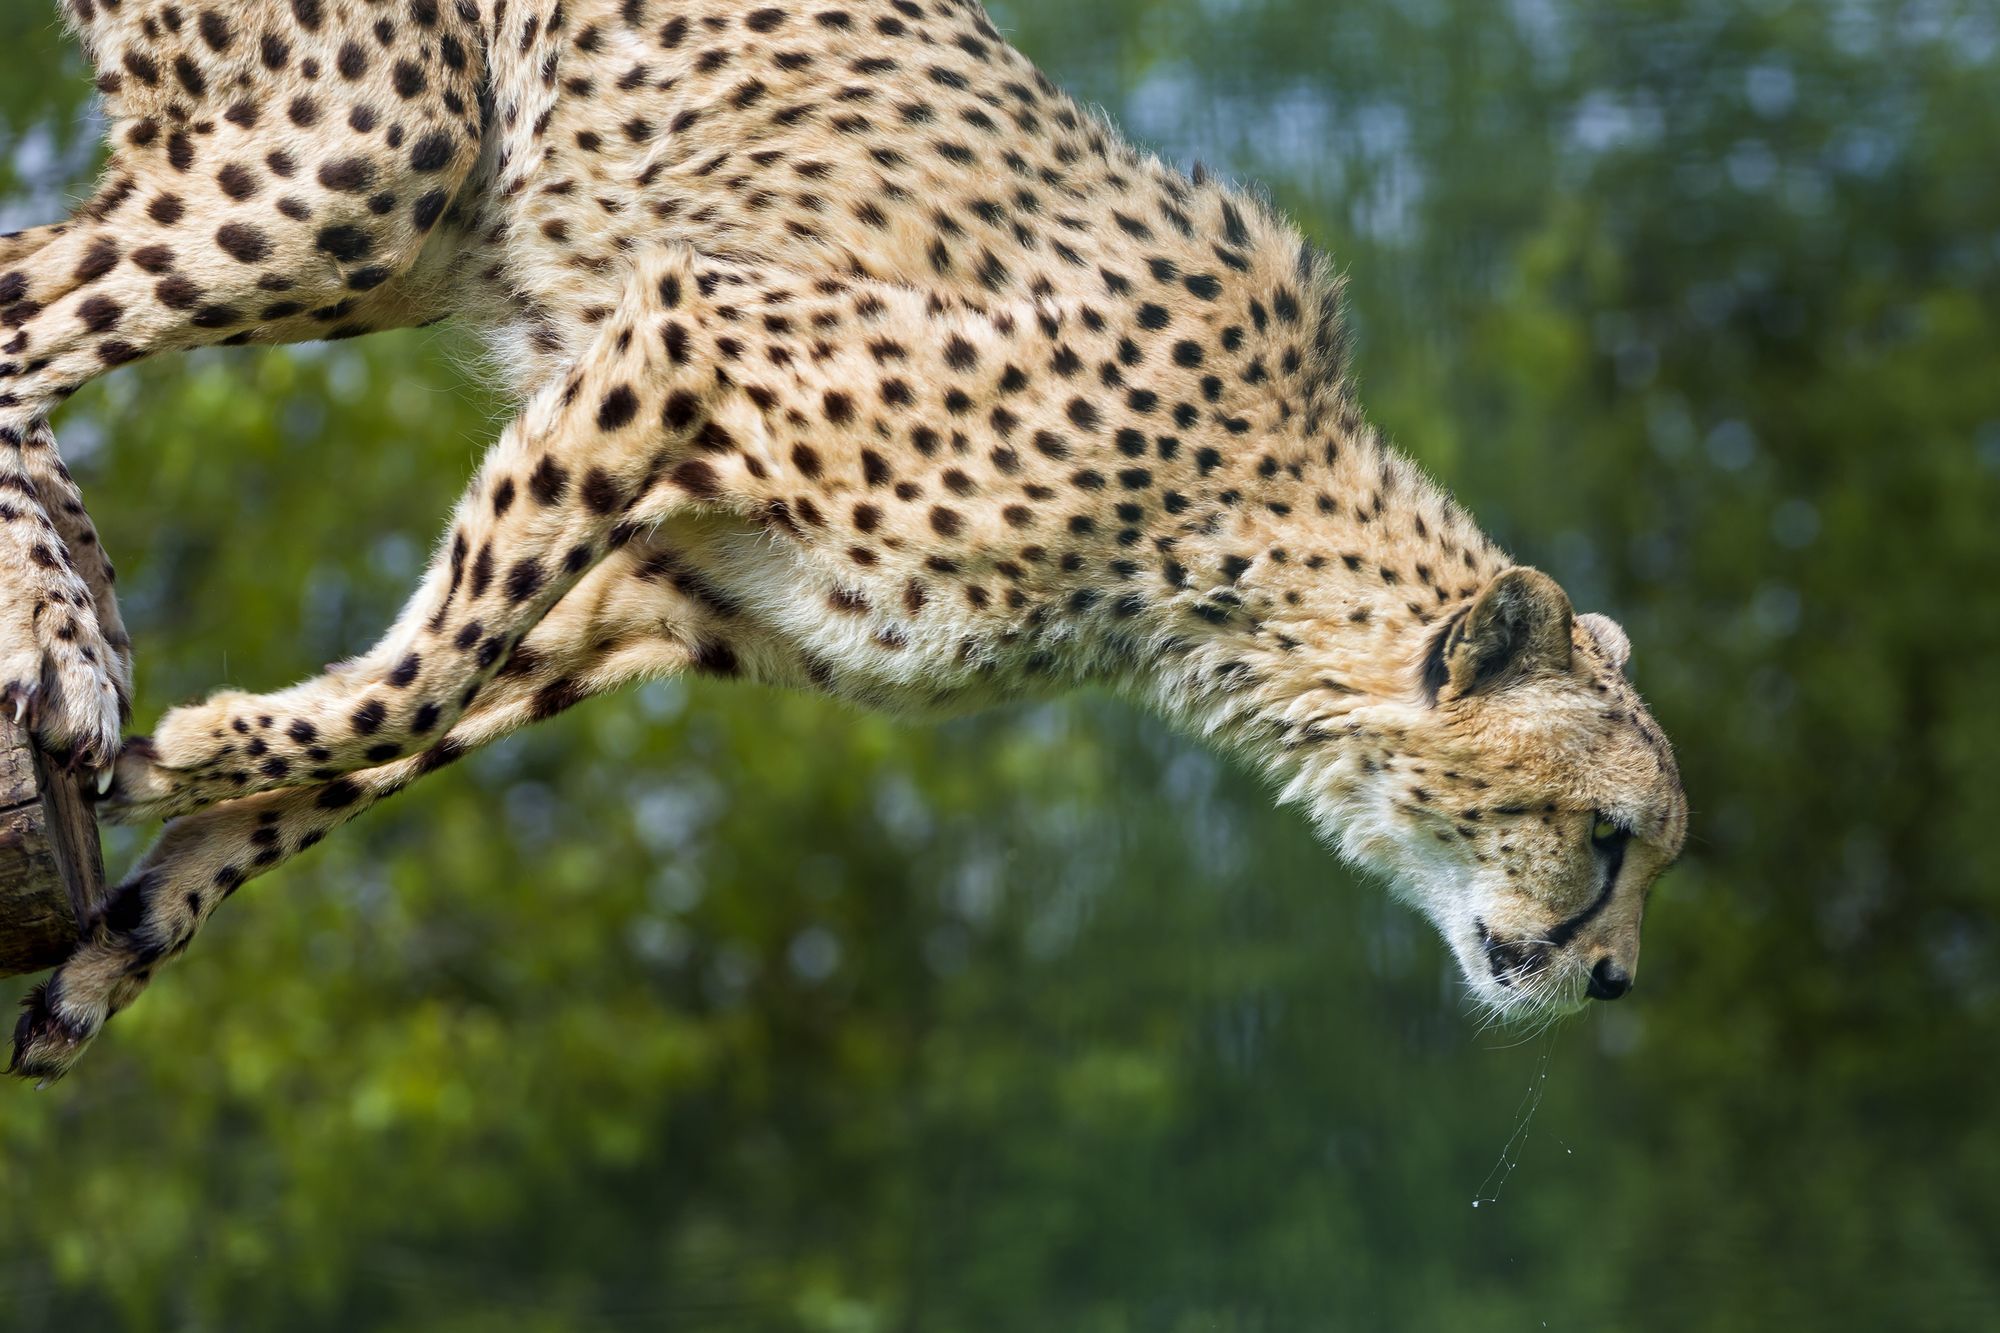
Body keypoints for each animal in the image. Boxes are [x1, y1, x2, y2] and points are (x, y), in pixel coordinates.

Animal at [3, 0, 1688, 1080]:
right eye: (1610, 839)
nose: (1615, 982)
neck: (1238, 536)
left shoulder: (665, 593)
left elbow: (396, 730)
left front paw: (132, 917)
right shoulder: (690, 335)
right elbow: (425, 676)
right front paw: (187, 748)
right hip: (371, 153)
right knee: (28, 324)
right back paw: (59, 642)